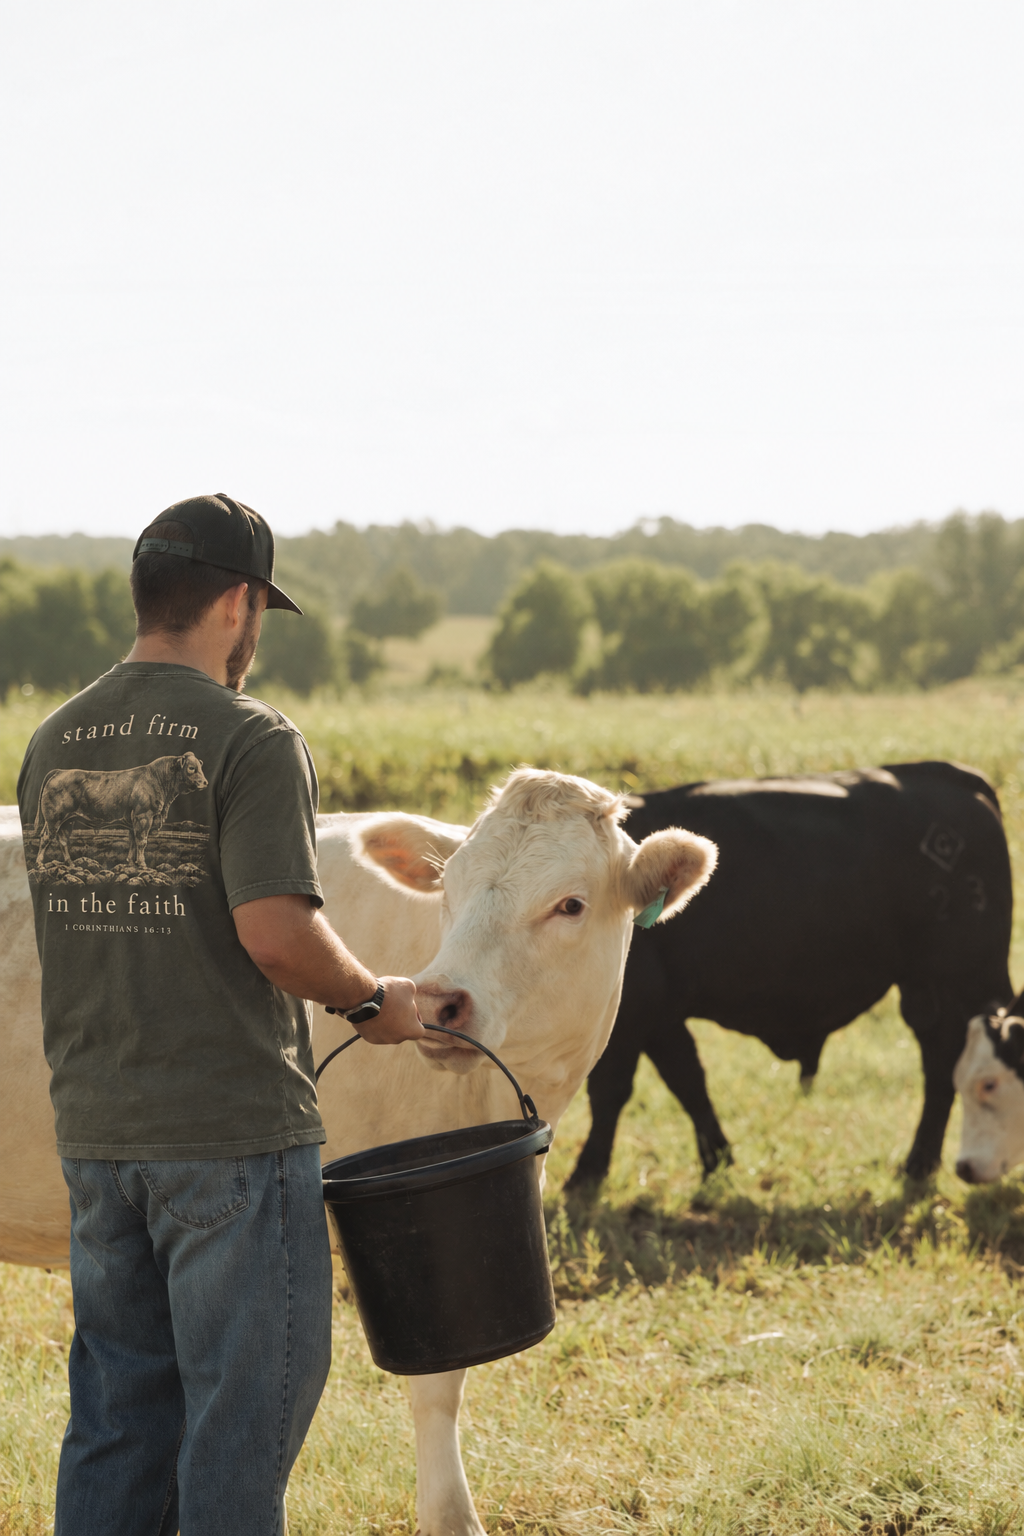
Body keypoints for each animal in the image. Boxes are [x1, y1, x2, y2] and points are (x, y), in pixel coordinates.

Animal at [0, 769, 716, 1536]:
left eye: (571, 904)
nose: (438, 1003)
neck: (483, 1092)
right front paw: (451, 1518)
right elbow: (435, 1385)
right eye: (450, 886)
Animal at [31, 752, 208, 870]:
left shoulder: (133, 821)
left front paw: (131, 863)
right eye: (192, 768)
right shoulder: (144, 816)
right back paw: (40, 864)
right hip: (54, 819)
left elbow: (132, 841)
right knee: (45, 838)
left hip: (68, 821)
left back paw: (71, 864)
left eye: (200, 767)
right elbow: (142, 841)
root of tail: (61, 771)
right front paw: (142, 864)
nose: (205, 782)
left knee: (62, 840)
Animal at [566, 761, 1013, 1191]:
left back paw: (921, 1164)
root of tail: (947, 774)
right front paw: (717, 1161)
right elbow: (688, 1081)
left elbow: (609, 1091)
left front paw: (585, 1174)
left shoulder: (630, 1016)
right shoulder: (661, 1018)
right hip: (928, 992)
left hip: (967, 982)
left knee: (951, 1069)